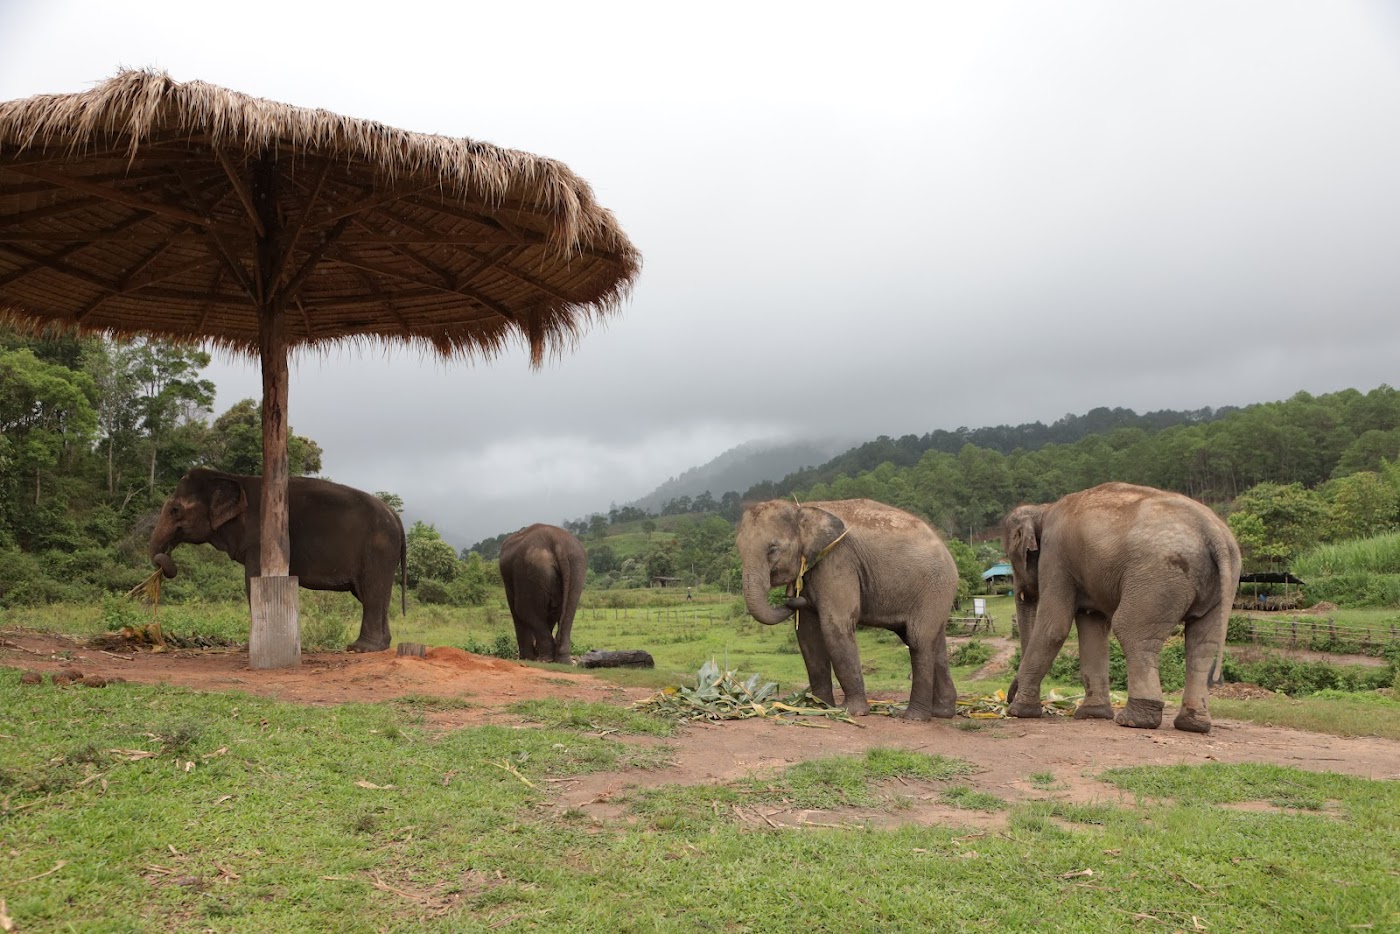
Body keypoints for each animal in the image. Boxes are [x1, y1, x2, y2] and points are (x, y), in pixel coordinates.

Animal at [148, 468, 407, 652]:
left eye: (175, 510)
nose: (165, 558)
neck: (230, 477)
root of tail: (396, 517)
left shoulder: (259, 540)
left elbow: (251, 579)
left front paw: (250, 647)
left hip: (378, 551)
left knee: (372, 592)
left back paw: (360, 649)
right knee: (373, 596)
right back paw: (378, 645)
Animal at [498, 523, 587, 663]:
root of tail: (557, 542)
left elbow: (518, 611)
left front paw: (527, 657)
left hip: (532, 573)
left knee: (522, 610)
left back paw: (544, 659)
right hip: (577, 568)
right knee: (568, 610)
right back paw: (562, 659)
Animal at [737, 498, 959, 720]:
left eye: (773, 549)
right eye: (739, 550)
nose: (793, 595)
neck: (803, 509)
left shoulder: (838, 560)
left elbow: (835, 625)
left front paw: (851, 712)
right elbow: (808, 634)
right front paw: (818, 707)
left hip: (935, 588)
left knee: (918, 640)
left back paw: (913, 717)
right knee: (935, 642)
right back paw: (942, 712)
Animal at [1003, 482, 1242, 733]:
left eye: (1012, 557)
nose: (1008, 698)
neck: (1042, 509)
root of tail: (1213, 531)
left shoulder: (1056, 557)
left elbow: (1054, 628)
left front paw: (1019, 712)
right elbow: (1092, 626)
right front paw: (1093, 714)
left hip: (1157, 577)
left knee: (1132, 630)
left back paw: (1135, 720)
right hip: (1218, 584)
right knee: (1203, 643)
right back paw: (1193, 724)